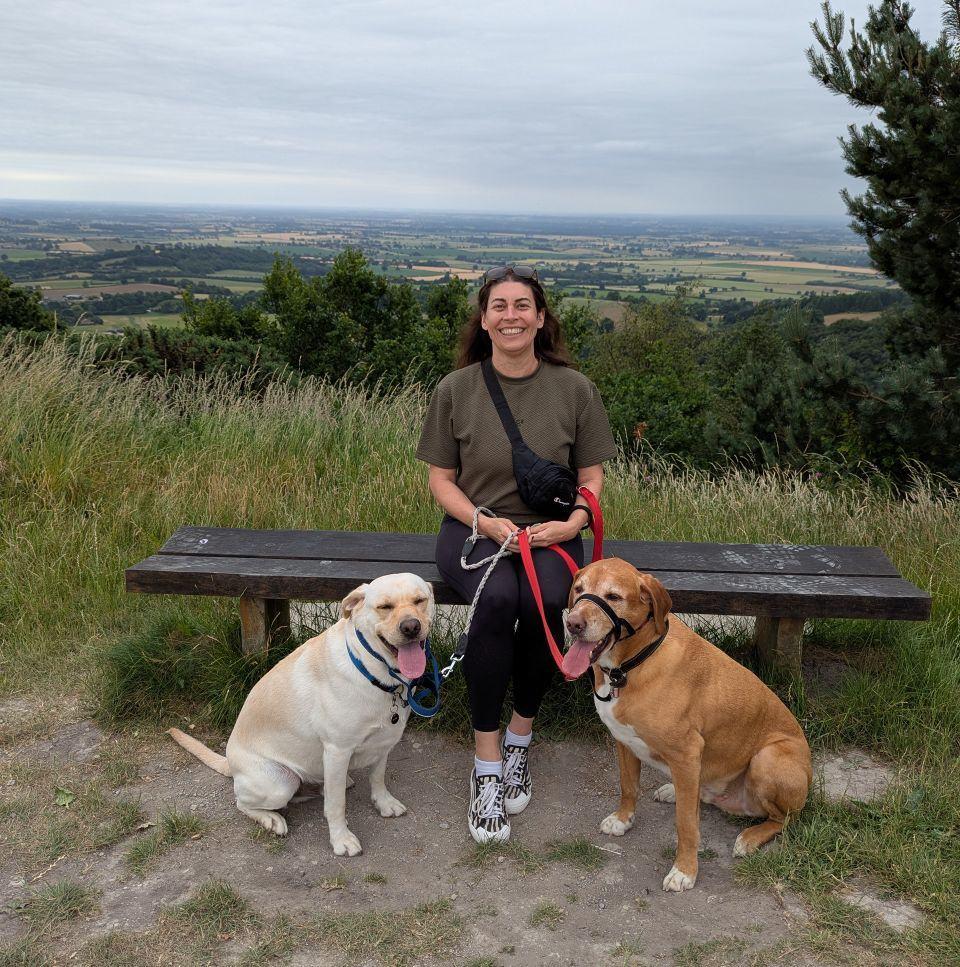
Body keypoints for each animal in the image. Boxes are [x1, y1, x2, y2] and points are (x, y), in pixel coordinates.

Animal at [168, 573, 435, 856]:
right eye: (384, 606)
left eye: (420, 600)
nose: (411, 627)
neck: (374, 671)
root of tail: (230, 763)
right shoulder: (337, 750)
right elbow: (337, 806)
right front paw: (341, 839)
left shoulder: (384, 741)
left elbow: (378, 777)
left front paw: (384, 803)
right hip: (280, 783)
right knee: (242, 802)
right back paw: (271, 819)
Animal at [562, 558, 811, 892]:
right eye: (579, 589)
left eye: (613, 597)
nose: (573, 624)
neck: (633, 664)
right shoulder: (624, 741)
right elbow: (628, 787)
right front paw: (623, 819)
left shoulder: (687, 752)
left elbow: (686, 823)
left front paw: (685, 870)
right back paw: (674, 790)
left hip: (767, 758)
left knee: (784, 818)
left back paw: (749, 838)